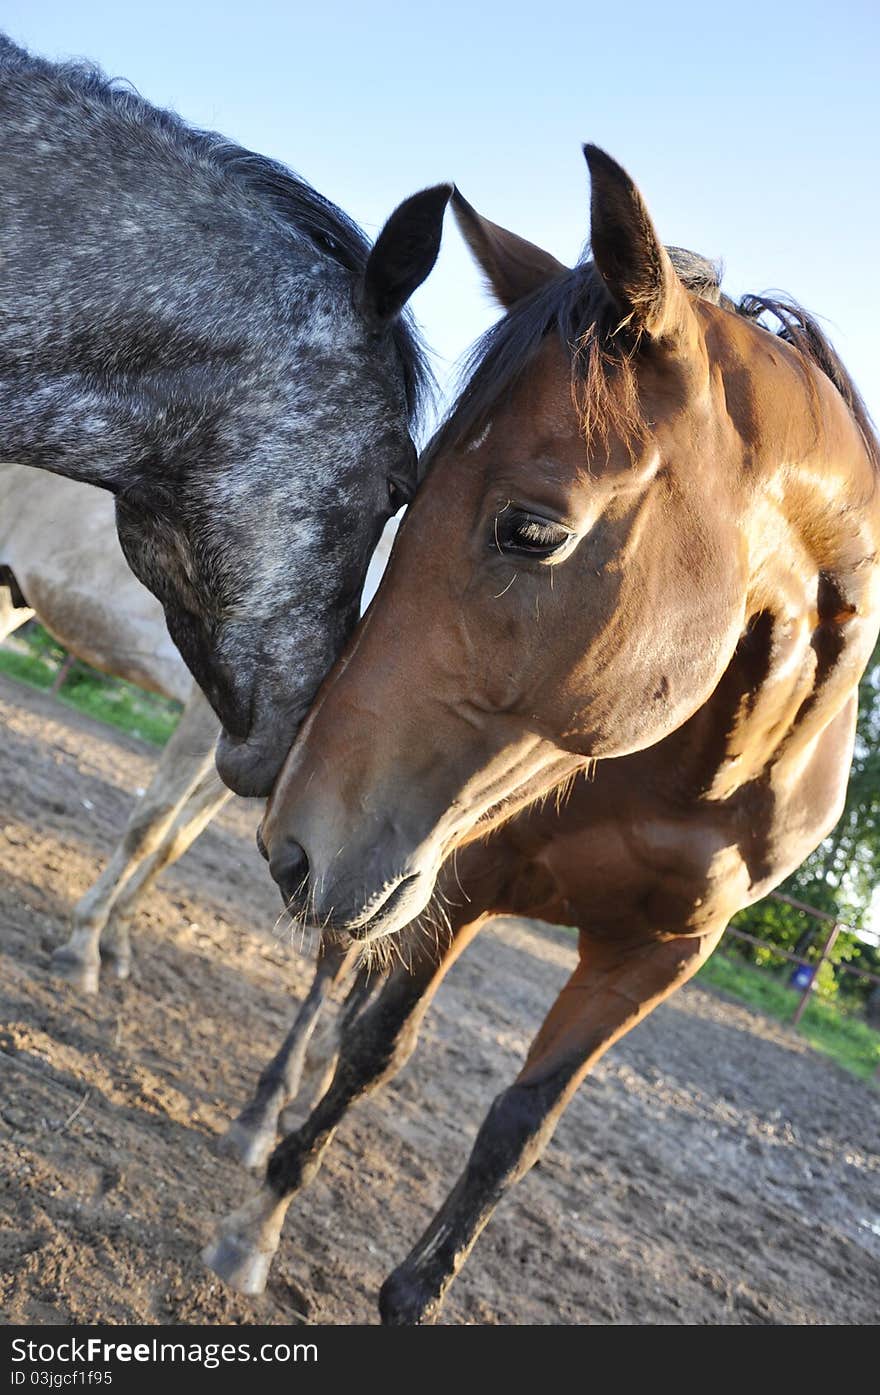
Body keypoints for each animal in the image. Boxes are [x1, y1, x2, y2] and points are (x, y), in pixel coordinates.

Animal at [207, 147, 880, 1322]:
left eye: (532, 529)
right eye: (406, 493)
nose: (293, 841)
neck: (708, 773)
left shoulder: (658, 958)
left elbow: (516, 1133)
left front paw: (416, 1293)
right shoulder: (472, 873)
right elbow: (375, 1046)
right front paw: (262, 1221)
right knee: (337, 978)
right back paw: (261, 1119)